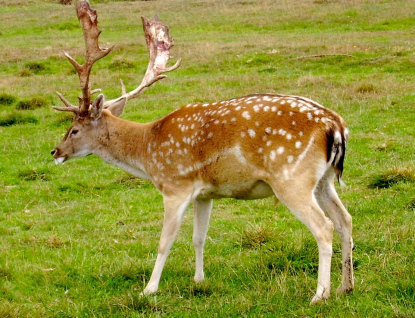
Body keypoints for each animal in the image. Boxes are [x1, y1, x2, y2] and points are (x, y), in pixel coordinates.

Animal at [51, 0, 354, 304]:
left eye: (74, 129)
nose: (55, 151)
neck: (148, 152)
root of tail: (335, 125)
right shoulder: (205, 194)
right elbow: (199, 237)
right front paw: (199, 279)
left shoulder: (175, 186)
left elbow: (165, 240)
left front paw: (149, 288)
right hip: (324, 180)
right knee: (345, 219)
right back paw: (346, 286)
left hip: (291, 178)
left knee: (324, 226)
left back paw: (320, 294)